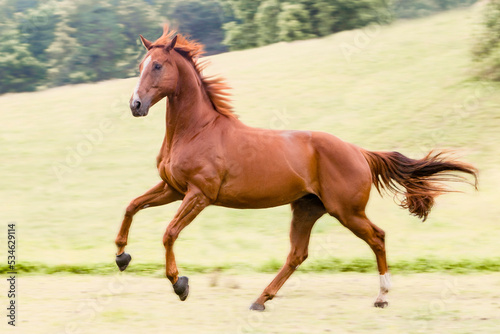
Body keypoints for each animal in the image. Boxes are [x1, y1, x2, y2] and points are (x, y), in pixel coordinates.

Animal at [114, 26, 476, 310]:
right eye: (140, 65)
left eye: (157, 65)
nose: (136, 105)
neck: (196, 130)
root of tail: (359, 152)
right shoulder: (173, 189)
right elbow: (131, 206)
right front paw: (121, 257)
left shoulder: (199, 194)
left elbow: (169, 233)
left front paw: (180, 284)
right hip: (307, 208)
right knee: (298, 254)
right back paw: (261, 300)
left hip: (346, 211)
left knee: (377, 237)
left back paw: (382, 296)